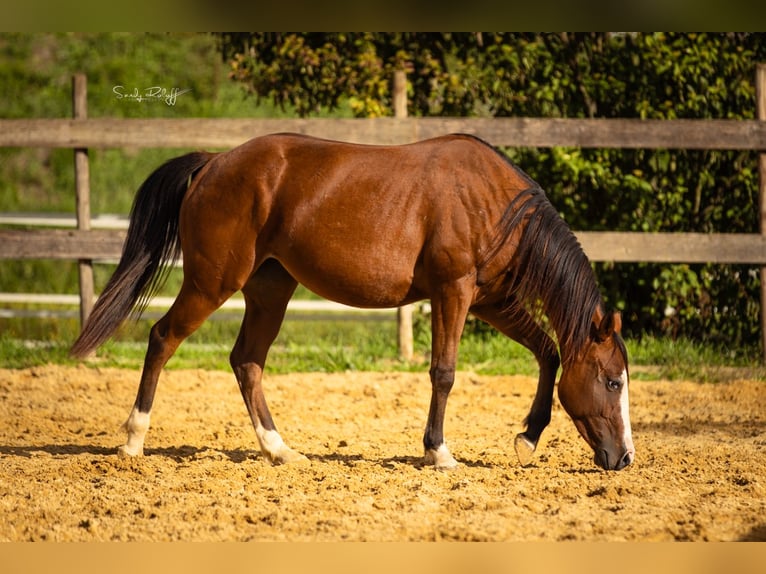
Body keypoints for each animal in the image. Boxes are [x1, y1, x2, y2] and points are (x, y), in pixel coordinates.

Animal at [70, 132, 634, 471]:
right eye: (612, 381)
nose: (625, 458)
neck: (494, 202)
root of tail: (213, 164)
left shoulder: (489, 300)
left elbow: (548, 351)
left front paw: (528, 438)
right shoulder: (453, 291)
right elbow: (444, 372)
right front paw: (439, 452)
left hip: (270, 290)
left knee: (246, 362)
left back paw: (279, 450)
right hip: (211, 283)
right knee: (162, 338)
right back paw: (133, 440)